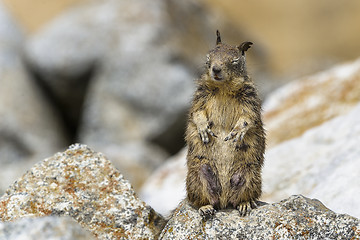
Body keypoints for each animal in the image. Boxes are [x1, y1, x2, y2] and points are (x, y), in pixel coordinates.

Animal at [186, 30, 264, 218]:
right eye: (209, 56)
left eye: (234, 60)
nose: (215, 68)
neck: (223, 88)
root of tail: (223, 199)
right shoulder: (200, 96)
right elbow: (197, 113)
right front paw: (203, 129)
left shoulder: (250, 99)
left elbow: (248, 117)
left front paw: (237, 131)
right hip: (197, 176)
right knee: (198, 200)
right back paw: (205, 207)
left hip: (250, 175)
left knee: (240, 198)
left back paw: (244, 204)